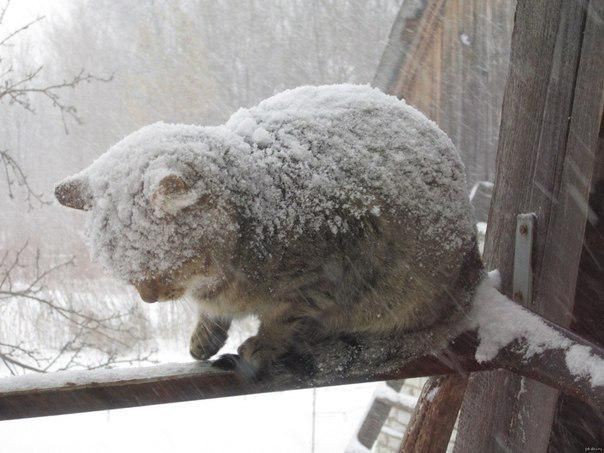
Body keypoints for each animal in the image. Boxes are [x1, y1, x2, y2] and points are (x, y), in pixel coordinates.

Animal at [54, 85, 484, 374]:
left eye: (155, 260)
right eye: (121, 268)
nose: (148, 297)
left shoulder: (329, 270)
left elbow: (285, 317)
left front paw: (266, 343)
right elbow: (214, 313)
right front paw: (204, 334)